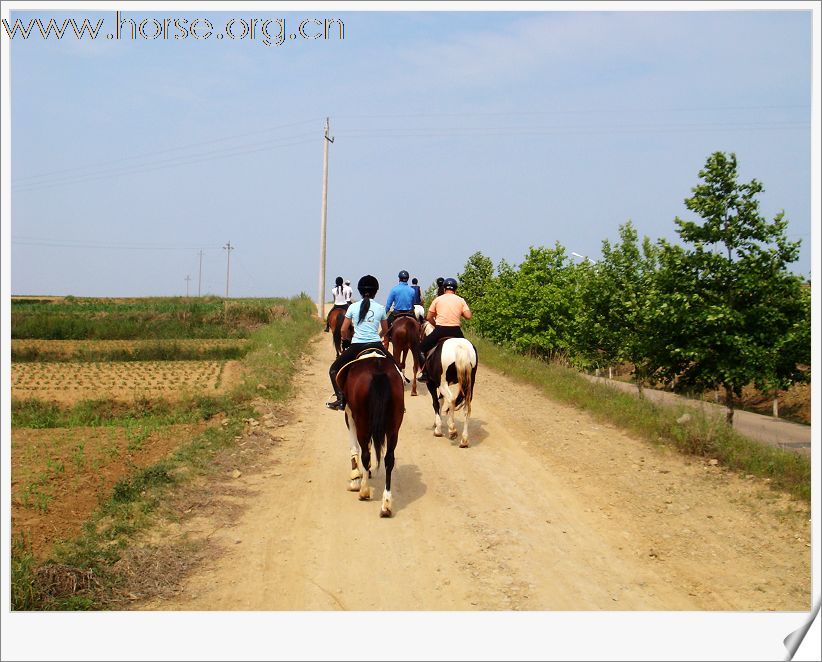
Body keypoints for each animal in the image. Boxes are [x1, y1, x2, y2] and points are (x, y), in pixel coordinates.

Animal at [336, 348, 408, 520]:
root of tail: (378, 370)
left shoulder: (349, 415)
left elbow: (355, 448)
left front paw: (356, 478)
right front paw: (366, 471)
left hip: (362, 420)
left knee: (365, 454)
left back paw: (363, 491)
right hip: (394, 426)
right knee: (389, 459)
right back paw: (386, 505)